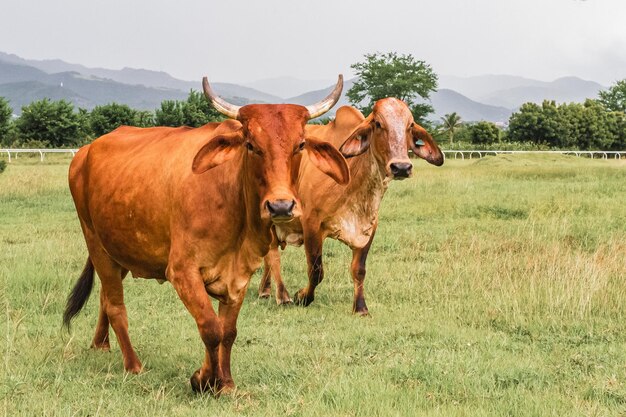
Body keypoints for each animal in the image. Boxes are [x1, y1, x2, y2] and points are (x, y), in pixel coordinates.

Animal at [62, 75, 346, 394]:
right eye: (251, 145)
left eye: (300, 144)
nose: (281, 205)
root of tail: (86, 150)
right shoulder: (182, 271)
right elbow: (211, 328)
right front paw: (203, 379)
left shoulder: (239, 275)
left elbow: (228, 331)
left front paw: (226, 381)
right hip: (96, 244)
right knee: (115, 305)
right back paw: (133, 365)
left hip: (119, 250)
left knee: (104, 297)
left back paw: (100, 344)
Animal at [256, 97, 442, 312]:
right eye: (378, 123)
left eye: (410, 125)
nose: (401, 167)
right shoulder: (311, 223)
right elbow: (316, 270)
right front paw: (302, 296)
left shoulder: (368, 228)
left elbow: (359, 269)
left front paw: (360, 308)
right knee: (273, 255)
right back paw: (282, 295)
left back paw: (265, 291)